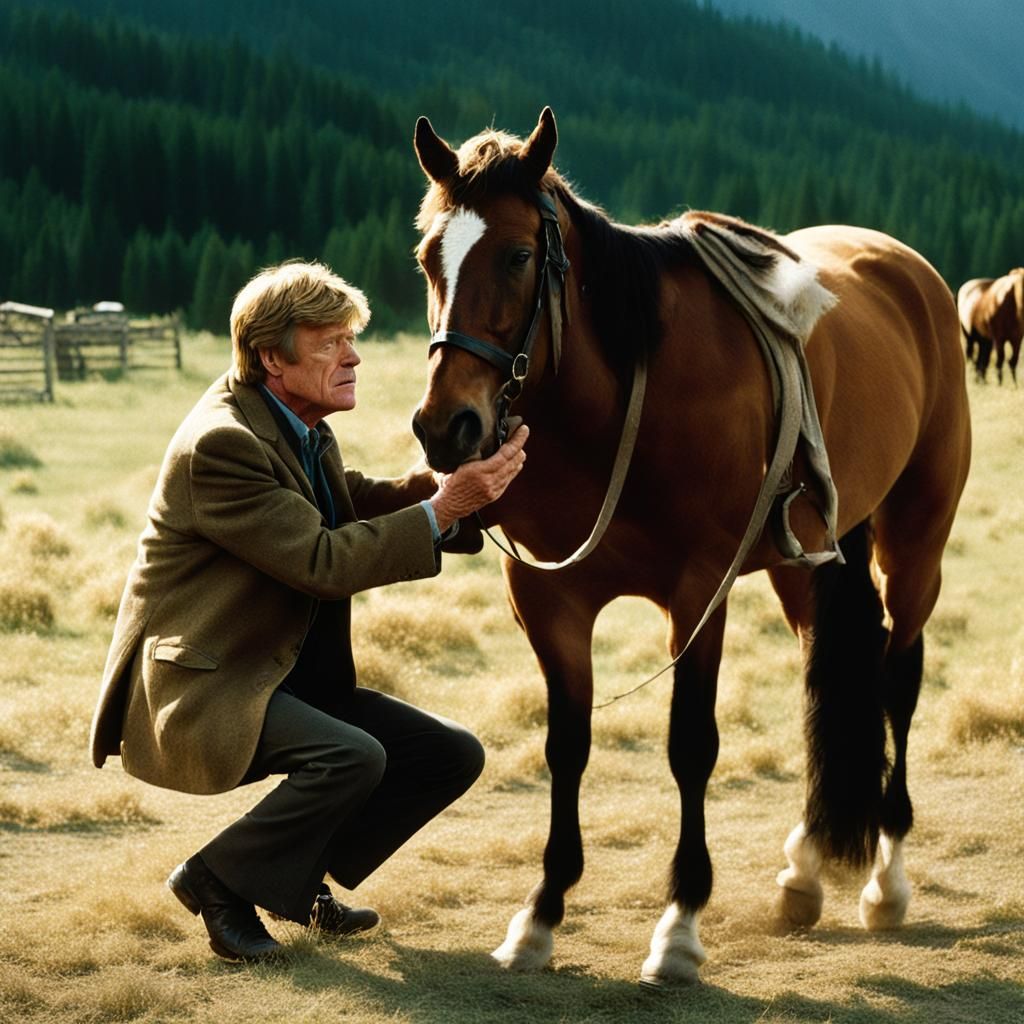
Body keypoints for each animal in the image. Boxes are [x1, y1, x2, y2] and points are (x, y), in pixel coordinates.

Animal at [410, 107, 971, 985]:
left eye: (518, 255)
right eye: (429, 257)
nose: (446, 427)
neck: (617, 411)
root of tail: (911, 273)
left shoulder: (699, 591)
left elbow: (690, 747)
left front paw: (679, 925)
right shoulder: (550, 601)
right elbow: (566, 746)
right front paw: (540, 914)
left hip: (917, 543)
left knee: (897, 681)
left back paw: (887, 880)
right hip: (805, 566)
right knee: (826, 672)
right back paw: (806, 868)